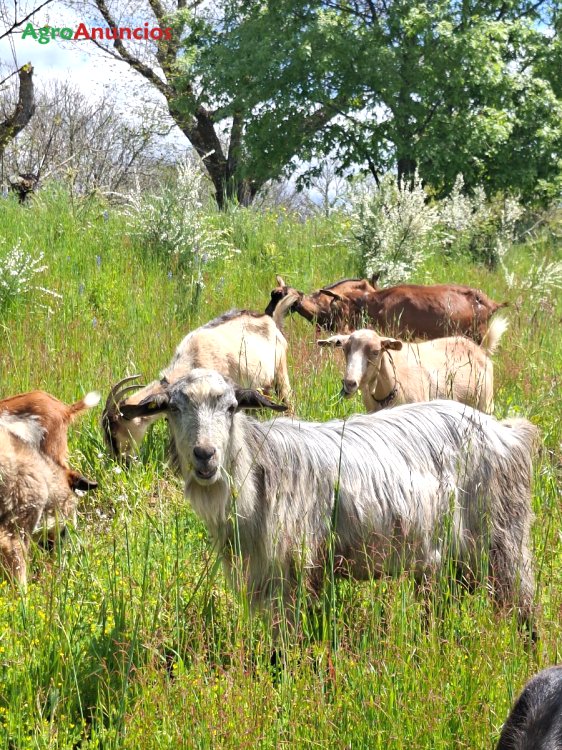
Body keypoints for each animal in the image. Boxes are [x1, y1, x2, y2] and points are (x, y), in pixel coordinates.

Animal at [120, 369, 537, 636]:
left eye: (231, 407)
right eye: (174, 408)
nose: (205, 455)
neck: (259, 469)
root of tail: (506, 431)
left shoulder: (291, 569)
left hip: (504, 536)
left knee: (524, 604)